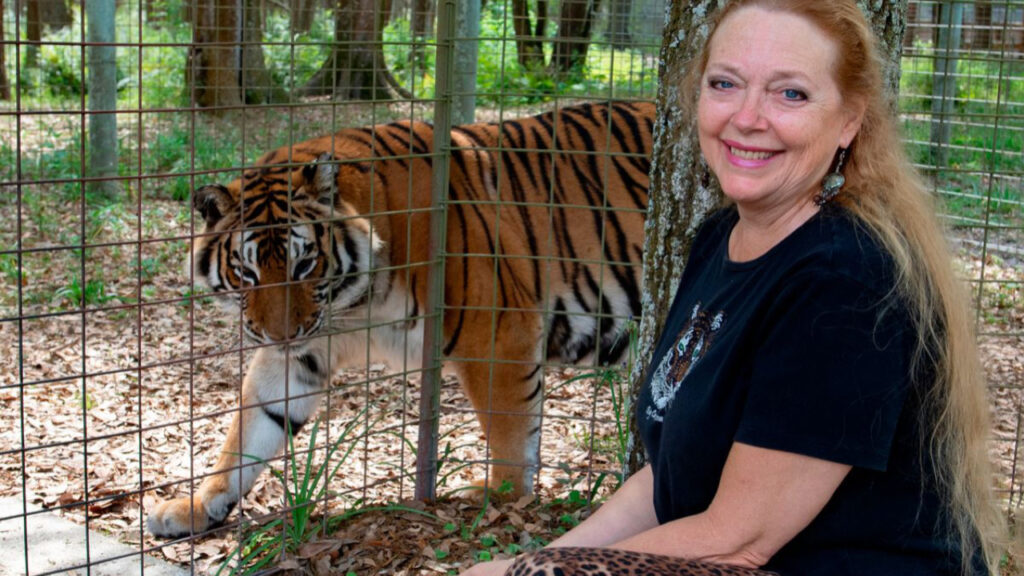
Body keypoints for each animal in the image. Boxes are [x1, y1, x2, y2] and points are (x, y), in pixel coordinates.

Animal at [145, 100, 655, 537]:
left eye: (304, 264)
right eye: (247, 273)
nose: (280, 334)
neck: (354, 302)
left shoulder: (498, 331)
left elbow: (511, 432)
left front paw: (502, 498)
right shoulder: (304, 351)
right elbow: (251, 428)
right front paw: (196, 505)